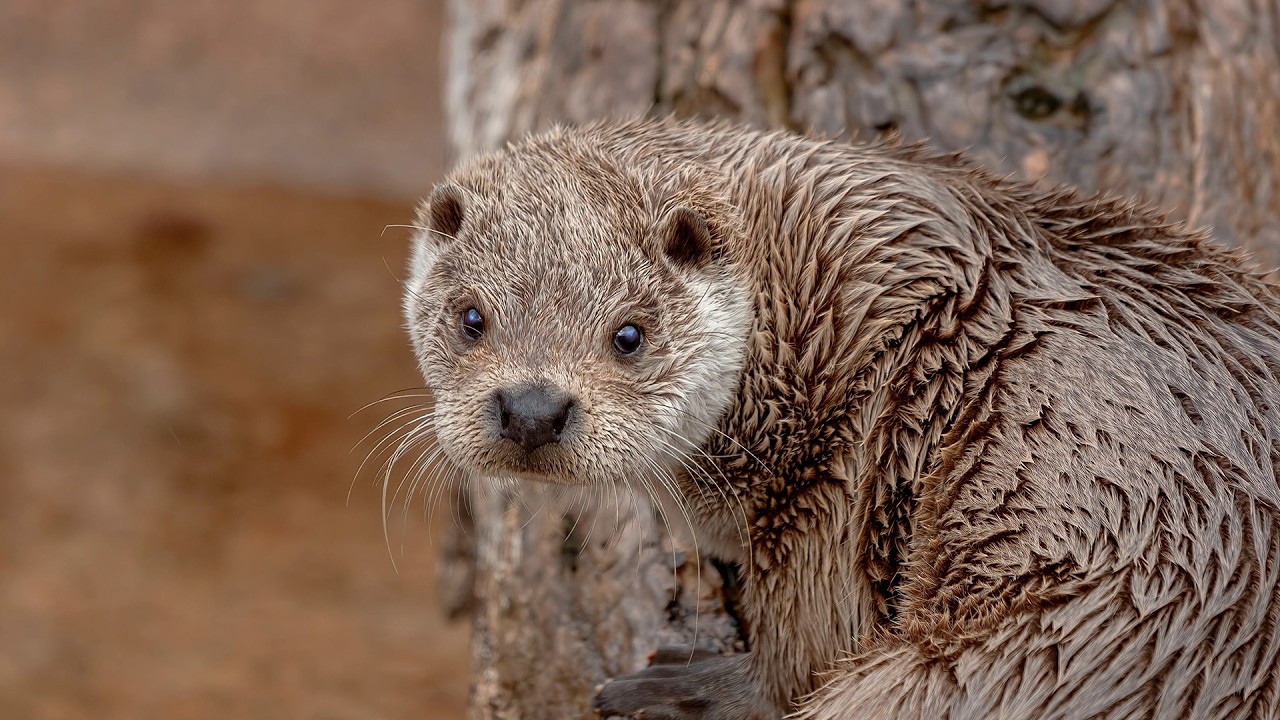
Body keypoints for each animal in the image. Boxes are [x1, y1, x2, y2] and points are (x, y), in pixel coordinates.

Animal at [402, 118, 1280, 719]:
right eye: (471, 317)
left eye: (629, 334)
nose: (532, 408)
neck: (822, 305)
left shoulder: (847, 455)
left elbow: (813, 638)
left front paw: (694, 689)